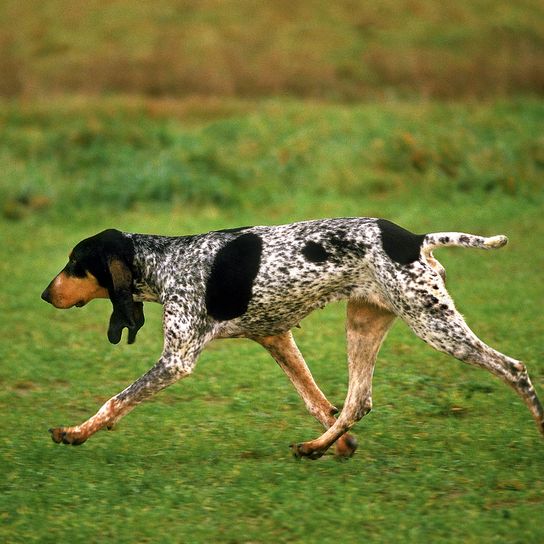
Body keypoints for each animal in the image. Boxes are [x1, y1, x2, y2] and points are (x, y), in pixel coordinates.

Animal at [42, 219, 544, 456]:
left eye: (74, 263)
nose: (45, 294)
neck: (163, 261)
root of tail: (414, 238)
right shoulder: (276, 338)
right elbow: (319, 403)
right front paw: (340, 446)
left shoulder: (176, 360)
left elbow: (115, 401)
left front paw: (75, 432)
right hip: (364, 325)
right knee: (358, 401)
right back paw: (316, 449)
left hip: (435, 326)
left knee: (514, 369)